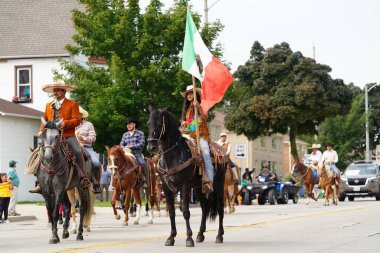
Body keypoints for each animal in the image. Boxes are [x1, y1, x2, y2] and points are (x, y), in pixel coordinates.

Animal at [147, 107, 227, 246]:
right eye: (148, 124)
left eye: (159, 123)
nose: (151, 146)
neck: (174, 155)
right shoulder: (166, 187)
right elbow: (172, 212)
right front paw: (171, 237)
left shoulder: (184, 185)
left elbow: (185, 212)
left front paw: (189, 238)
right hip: (198, 187)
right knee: (204, 207)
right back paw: (200, 234)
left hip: (219, 184)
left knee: (220, 207)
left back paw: (219, 236)